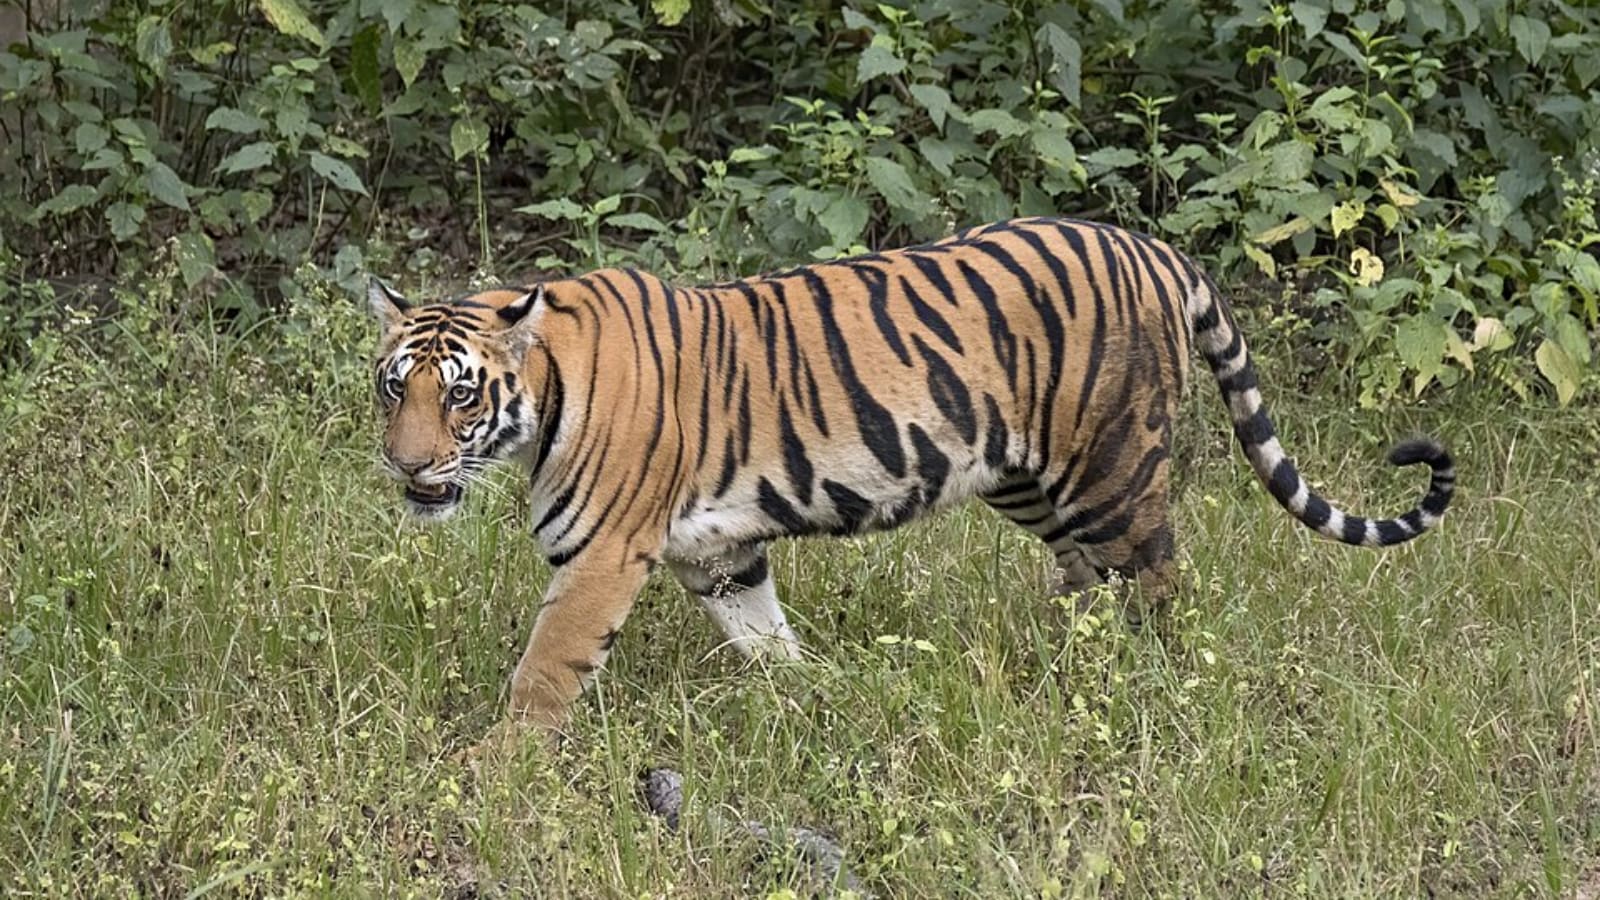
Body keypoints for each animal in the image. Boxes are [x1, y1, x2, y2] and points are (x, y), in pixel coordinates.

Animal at [367, 216, 1455, 738]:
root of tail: (1153, 248)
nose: (407, 464)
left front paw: (501, 769)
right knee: (1086, 582)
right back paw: (1065, 670)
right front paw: (813, 699)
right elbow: (766, 638)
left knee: (1159, 585)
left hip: (1111, 469)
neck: (543, 398)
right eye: (393, 389)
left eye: (460, 396)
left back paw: (1160, 688)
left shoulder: (600, 558)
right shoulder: (719, 553)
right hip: (1028, 479)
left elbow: (545, 671)